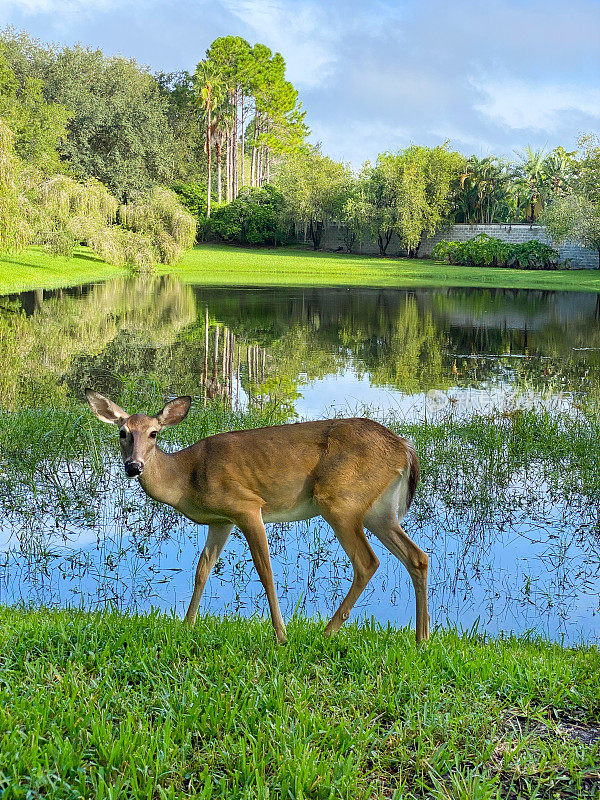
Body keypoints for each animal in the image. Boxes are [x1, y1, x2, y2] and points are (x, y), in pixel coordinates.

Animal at [85, 388, 432, 644]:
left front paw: (281, 635)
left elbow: (265, 572)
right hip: (379, 510)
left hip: (339, 499)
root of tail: (405, 447)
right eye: (122, 432)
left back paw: (328, 631)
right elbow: (202, 569)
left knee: (367, 561)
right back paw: (421, 638)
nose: (134, 466)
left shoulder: (247, 506)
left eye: (154, 433)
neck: (187, 479)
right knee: (417, 556)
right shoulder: (221, 520)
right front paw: (187, 625)